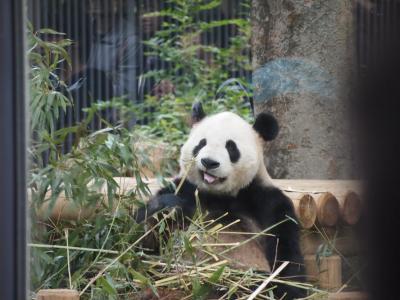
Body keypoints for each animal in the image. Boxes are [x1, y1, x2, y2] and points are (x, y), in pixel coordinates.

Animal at [136, 102, 304, 298]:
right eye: (201, 143)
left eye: (231, 147)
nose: (209, 162)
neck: (218, 194)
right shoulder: (185, 187)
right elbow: (142, 242)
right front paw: (167, 209)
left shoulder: (266, 201)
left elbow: (286, 258)